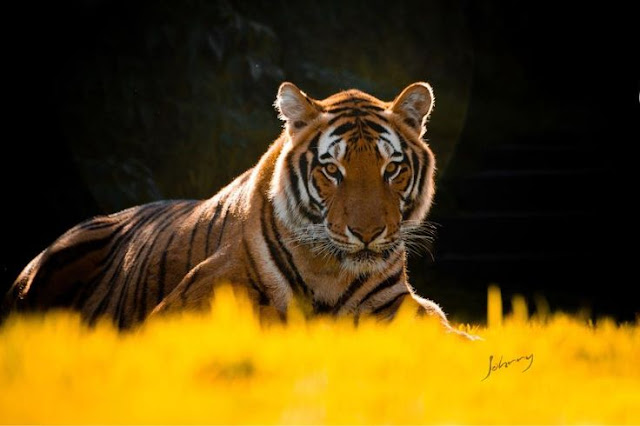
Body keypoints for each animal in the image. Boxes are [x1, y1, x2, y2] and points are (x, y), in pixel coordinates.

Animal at [1, 81, 476, 338]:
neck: (333, 272)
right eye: (332, 170)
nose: (367, 234)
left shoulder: (396, 303)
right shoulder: (182, 307)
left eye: (391, 168)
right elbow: (272, 316)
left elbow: (442, 326)